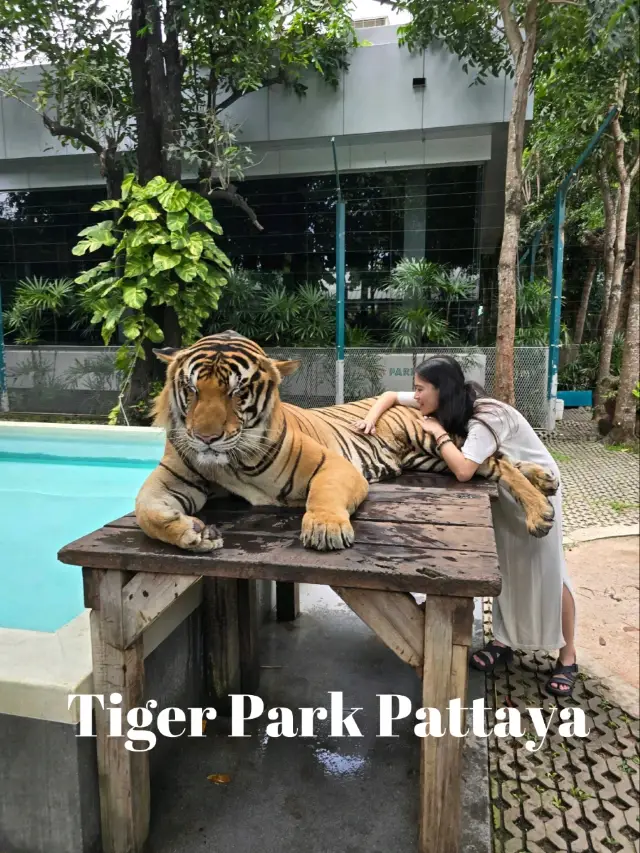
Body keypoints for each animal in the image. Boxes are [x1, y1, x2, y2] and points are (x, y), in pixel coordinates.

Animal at [134, 330, 559, 553]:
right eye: (192, 389)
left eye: (237, 392)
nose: (205, 438)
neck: (231, 463)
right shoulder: (172, 477)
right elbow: (145, 510)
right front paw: (193, 532)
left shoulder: (334, 466)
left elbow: (324, 493)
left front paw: (325, 528)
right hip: (430, 460)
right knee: (496, 463)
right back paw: (543, 479)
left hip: (429, 438)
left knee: (495, 462)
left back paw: (540, 511)